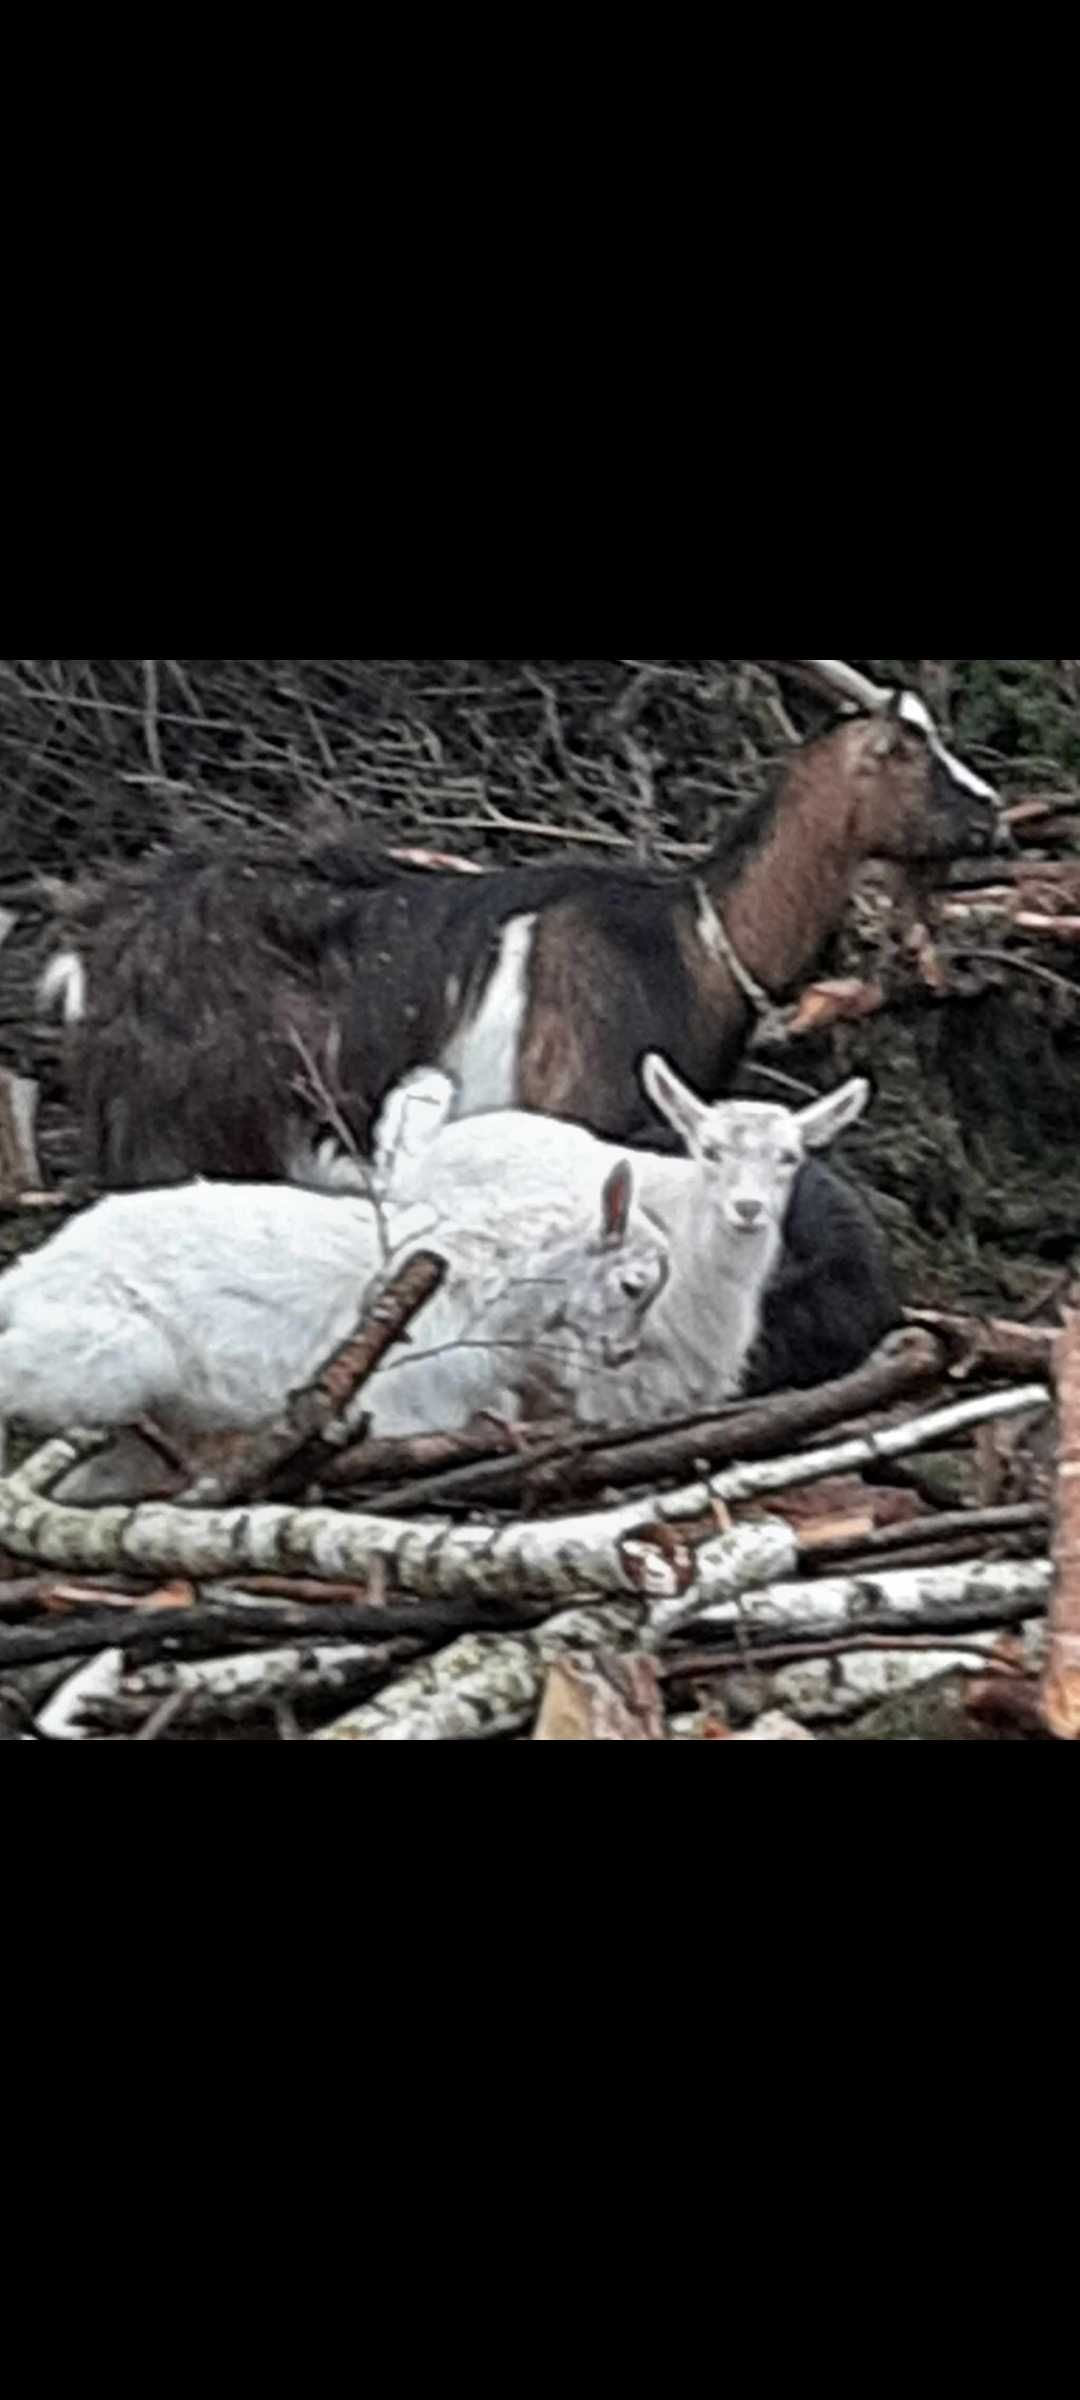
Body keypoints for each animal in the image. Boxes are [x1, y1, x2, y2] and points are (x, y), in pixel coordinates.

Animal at [40, 662, 1003, 1185]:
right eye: (909, 753)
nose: (994, 814)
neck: (693, 936)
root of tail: (91, 953)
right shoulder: (579, 1111)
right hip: (180, 1128)